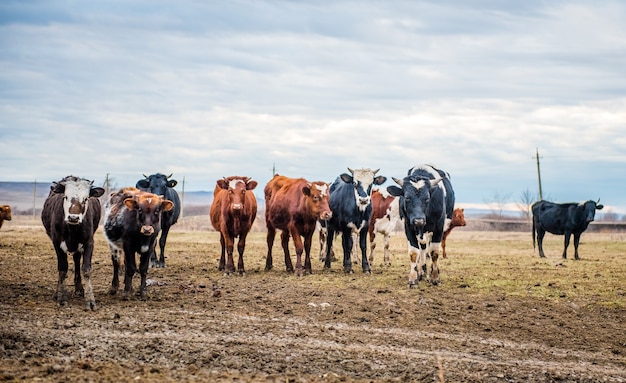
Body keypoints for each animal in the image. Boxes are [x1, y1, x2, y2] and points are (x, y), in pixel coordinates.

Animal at [40, 176, 104, 310]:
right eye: (65, 197)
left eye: (86, 198)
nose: (73, 217)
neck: (72, 229)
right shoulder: (57, 243)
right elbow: (62, 269)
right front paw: (61, 297)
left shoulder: (89, 242)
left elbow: (86, 269)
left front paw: (90, 300)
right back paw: (57, 292)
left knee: (76, 260)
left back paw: (79, 289)